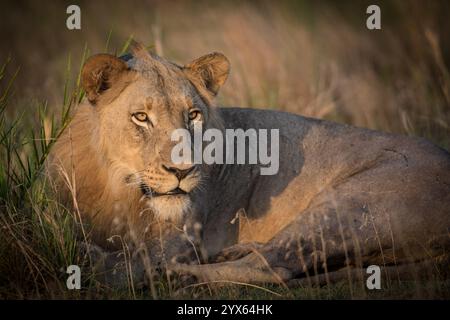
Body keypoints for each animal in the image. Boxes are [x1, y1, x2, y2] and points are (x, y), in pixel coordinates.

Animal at [50, 43, 450, 288]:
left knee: (274, 266)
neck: (116, 185)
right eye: (141, 117)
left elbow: (130, 262)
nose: (182, 171)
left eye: (193, 115)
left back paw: (180, 276)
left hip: (348, 202)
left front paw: (98, 262)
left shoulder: (182, 237)